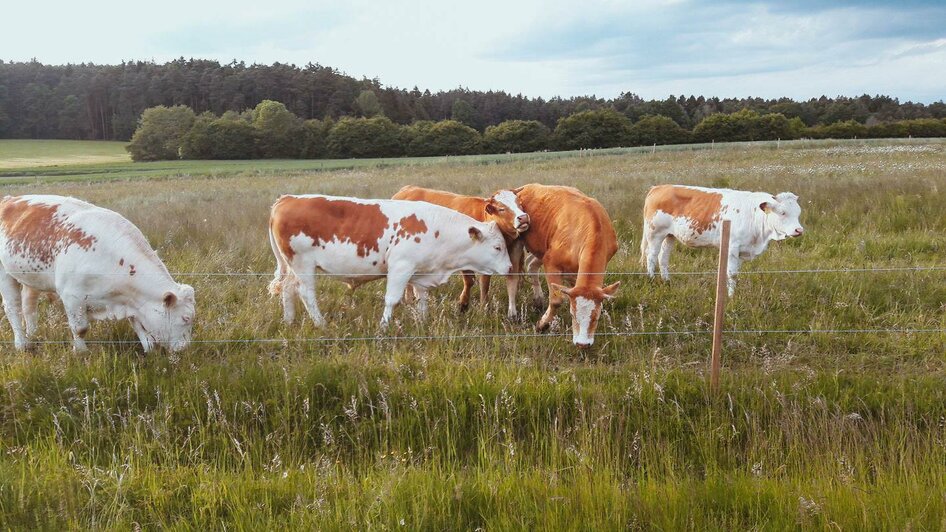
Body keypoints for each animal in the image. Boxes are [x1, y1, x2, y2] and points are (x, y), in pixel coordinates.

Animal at [0, 195, 195, 354]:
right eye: (185, 318)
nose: (184, 348)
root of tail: (8, 199)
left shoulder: (131, 302)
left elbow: (140, 328)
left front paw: (150, 352)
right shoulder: (72, 297)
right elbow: (80, 329)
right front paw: (81, 353)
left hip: (30, 277)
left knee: (29, 305)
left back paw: (32, 335)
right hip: (5, 274)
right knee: (13, 308)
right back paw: (21, 344)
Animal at [270, 195, 512, 328]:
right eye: (498, 247)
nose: (510, 267)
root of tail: (287, 198)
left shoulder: (421, 272)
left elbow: (422, 299)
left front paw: (423, 322)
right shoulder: (401, 267)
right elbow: (392, 300)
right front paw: (383, 327)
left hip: (293, 266)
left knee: (288, 288)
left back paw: (289, 321)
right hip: (303, 264)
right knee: (306, 293)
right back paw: (321, 324)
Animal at [388, 186, 528, 318]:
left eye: (520, 203)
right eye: (501, 209)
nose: (523, 217)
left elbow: (498, 282)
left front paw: (496, 310)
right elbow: (473, 281)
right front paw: (465, 305)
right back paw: (409, 300)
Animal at [508, 184, 620, 350]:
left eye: (597, 317)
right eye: (573, 315)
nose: (582, 344)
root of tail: (525, 187)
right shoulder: (551, 262)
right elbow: (556, 300)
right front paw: (542, 325)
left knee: (531, 265)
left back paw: (538, 298)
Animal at [636, 185, 800, 296]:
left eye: (798, 213)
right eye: (782, 212)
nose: (799, 230)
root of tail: (659, 187)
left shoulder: (742, 251)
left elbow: (734, 274)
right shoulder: (732, 247)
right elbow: (732, 273)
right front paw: (731, 297)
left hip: (670, 236)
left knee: (663, 258)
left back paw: (667, 281)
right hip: (654, 234)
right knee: (651, 257)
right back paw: (652, 280)